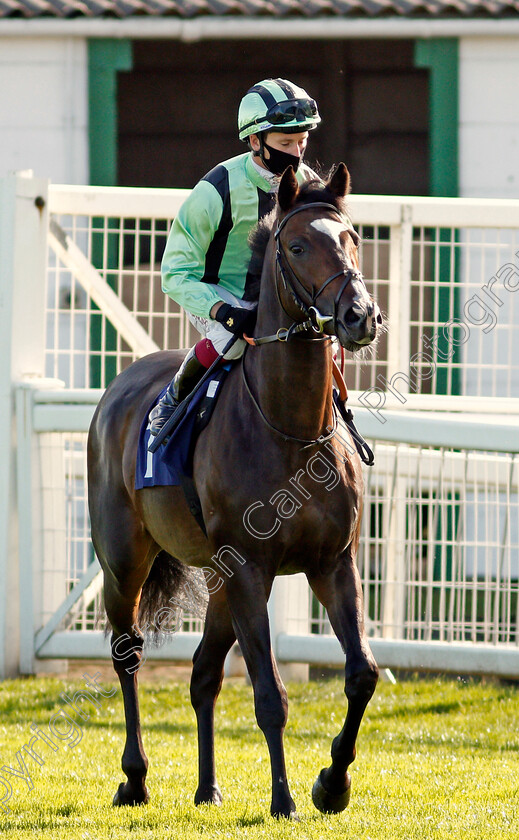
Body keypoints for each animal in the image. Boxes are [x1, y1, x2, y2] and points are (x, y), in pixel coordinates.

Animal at [88, 162, 382, 820]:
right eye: (296, 246)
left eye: (351, 237)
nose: (360, 316)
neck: (290, 429)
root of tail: (118, 388)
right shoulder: (251, 567)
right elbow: (270, 693)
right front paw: (284, 798)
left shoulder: (332, 563)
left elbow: (361, 674)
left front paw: (333, 783)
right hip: (123, 560)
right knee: (127, 652)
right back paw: (134, 778)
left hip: (218, 577)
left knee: (202, 674)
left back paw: (207, 787)